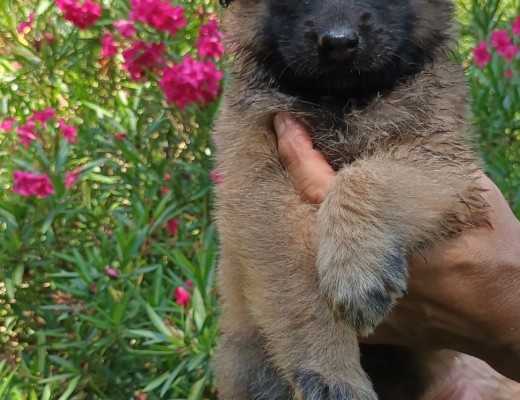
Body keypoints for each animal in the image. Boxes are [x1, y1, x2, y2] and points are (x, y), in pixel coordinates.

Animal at [211, 0, 488, 396]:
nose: (339, 43)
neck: (341, 101)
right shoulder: (257, 185)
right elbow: (298, 281)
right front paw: (331, 372)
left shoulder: (446, 162)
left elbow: (363, 176)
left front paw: (354, 268)